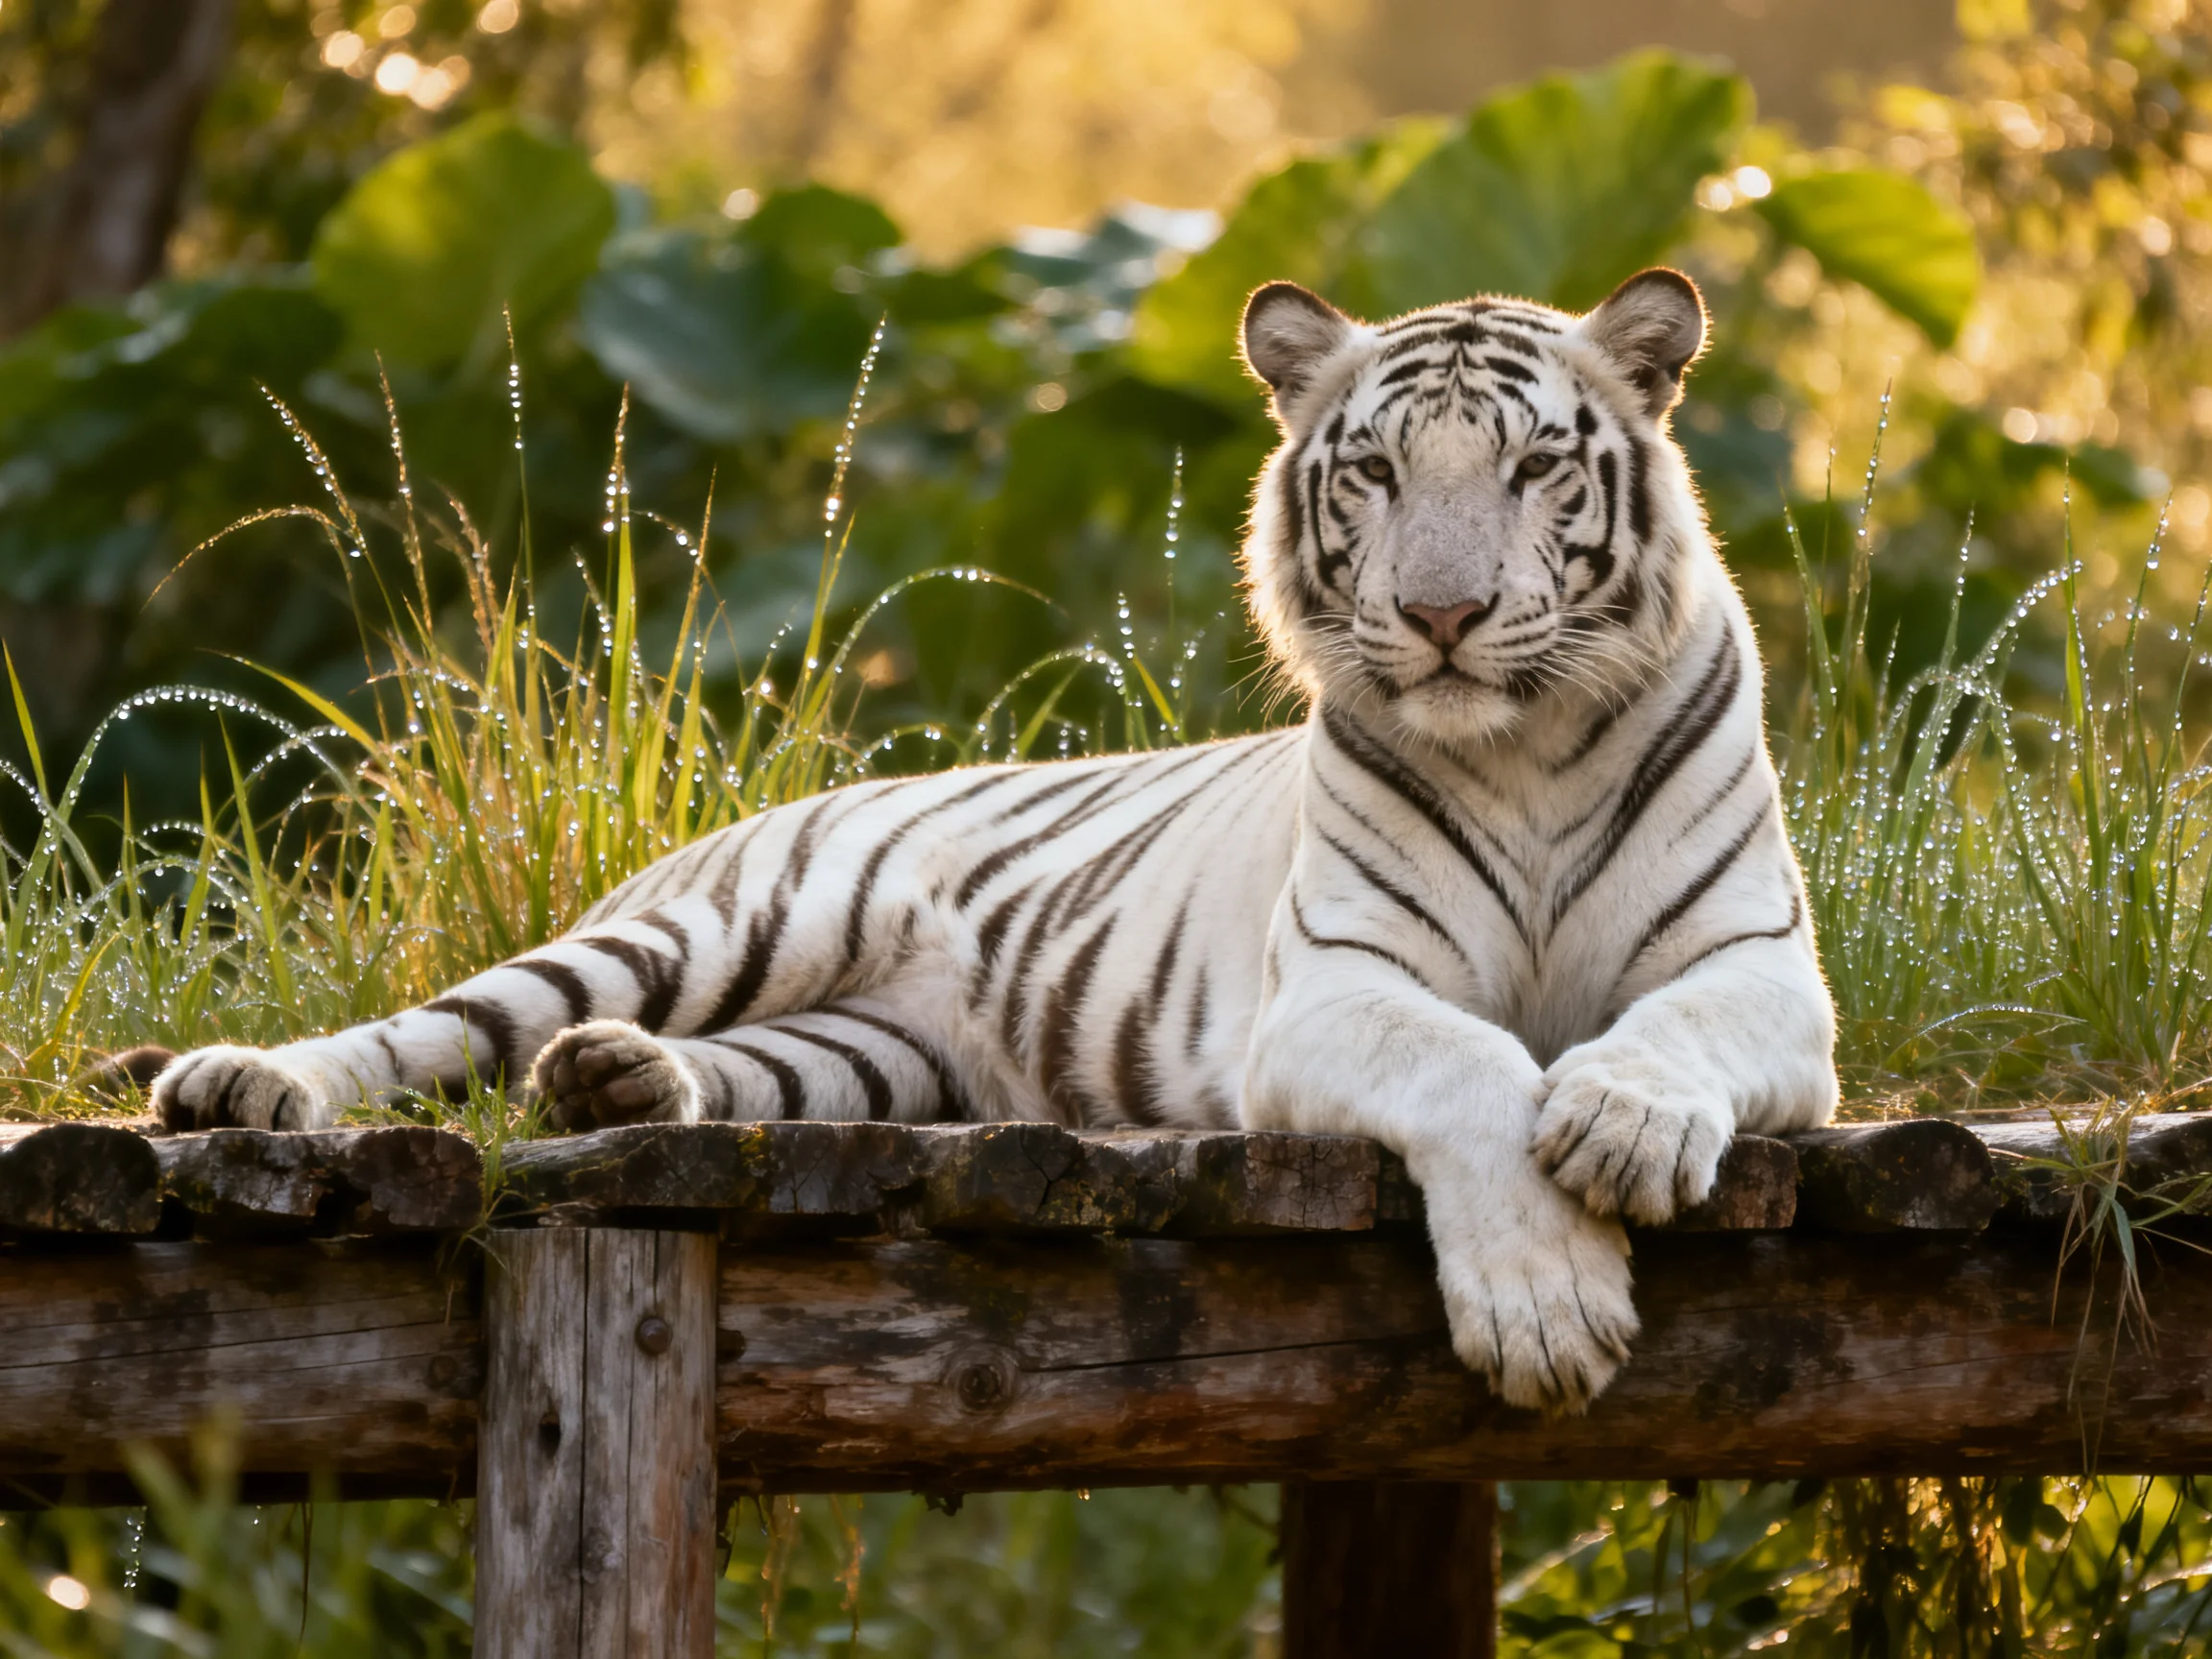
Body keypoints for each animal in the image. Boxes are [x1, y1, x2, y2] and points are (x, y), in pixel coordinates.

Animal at [151, 266, 1840, 1414]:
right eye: (1373, 472)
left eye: (1535, 468)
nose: (1440, 616)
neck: (1525, 750)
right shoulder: (1336, 991)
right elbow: (1475, 1067)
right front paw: (1549, 1312)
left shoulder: (1765, 973)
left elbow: (1667, 1031)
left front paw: (1621, 1125)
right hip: (723, 926)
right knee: (435, 1030)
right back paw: (250, 1085)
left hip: (864, 1059)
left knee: (701, 1076)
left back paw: (618, 1084)